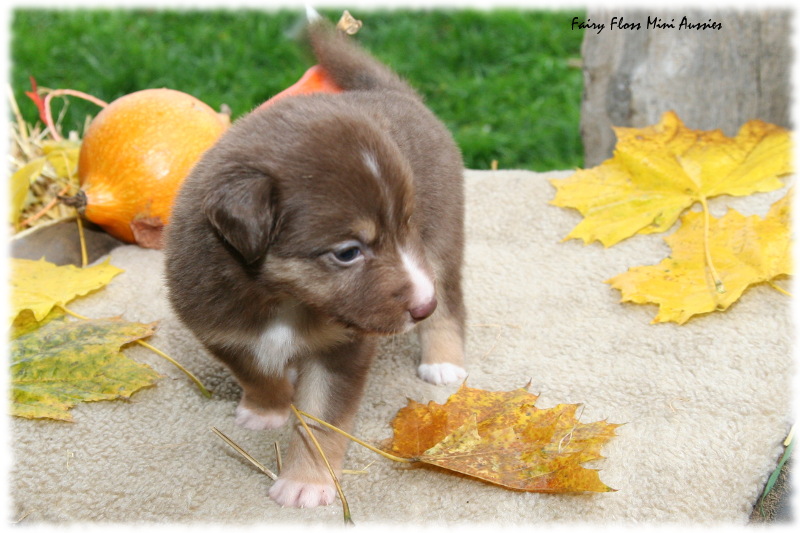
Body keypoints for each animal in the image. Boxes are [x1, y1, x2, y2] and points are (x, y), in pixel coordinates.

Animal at [166, 16, 466, 508]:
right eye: (347, 252)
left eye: (406, 224)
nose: (422, 306)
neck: (283, 298)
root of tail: (394, 93)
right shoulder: (217, 325)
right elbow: (255, 371)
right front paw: (266, 409)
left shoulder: (343, 348)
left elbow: (321, 422)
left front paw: (307, 482)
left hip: (442, 239)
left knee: (452, 305)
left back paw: (443, 361)